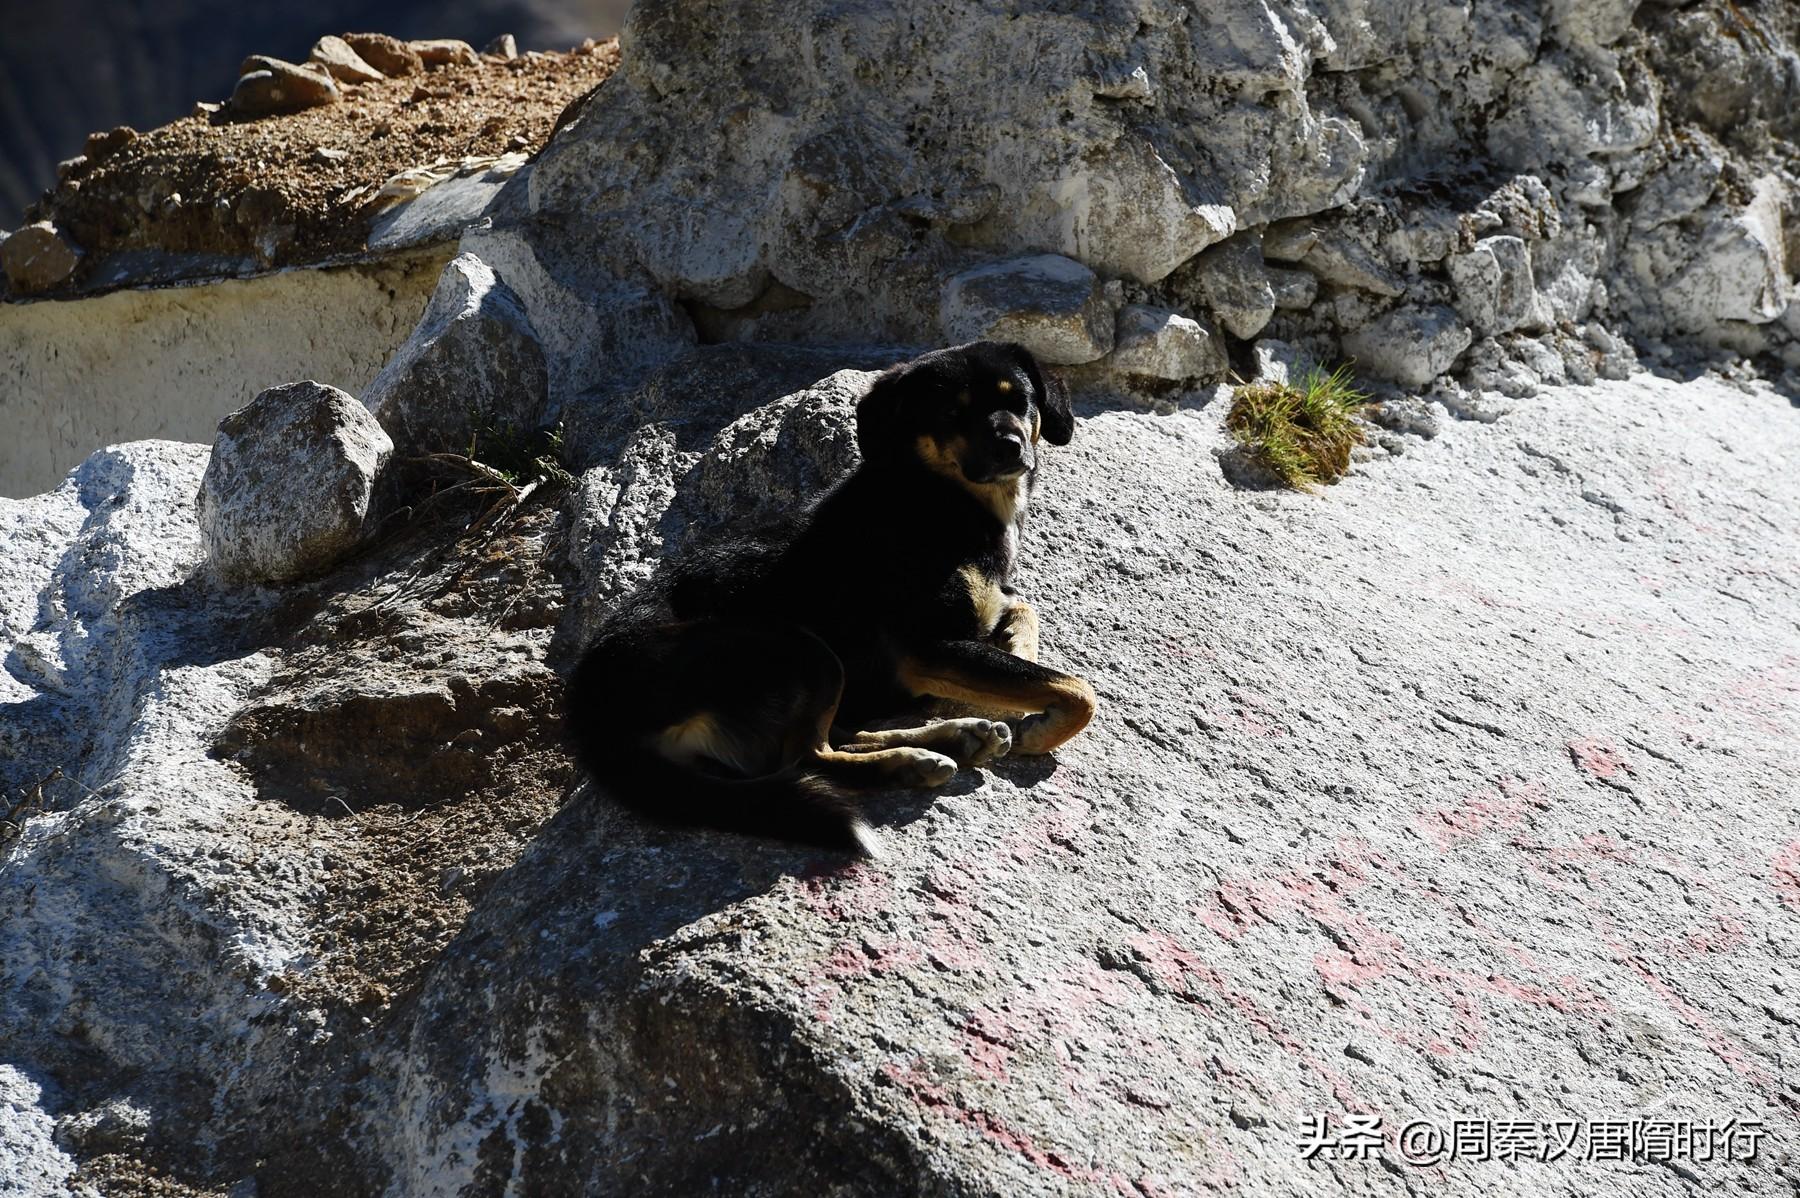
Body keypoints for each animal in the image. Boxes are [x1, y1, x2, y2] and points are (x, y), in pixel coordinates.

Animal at [561, 339, 1094, 852]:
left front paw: (1017, 648)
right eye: (950, 413)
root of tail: (593, 719)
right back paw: (911, 761)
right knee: (807, 758)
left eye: (1019, 400)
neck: (932, 497)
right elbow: (1078, 688)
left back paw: (955, 739)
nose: (1009, 445)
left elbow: (1024, 610)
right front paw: (1040, 727)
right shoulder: (928, 649)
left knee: (837, 736)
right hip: (798, 648)